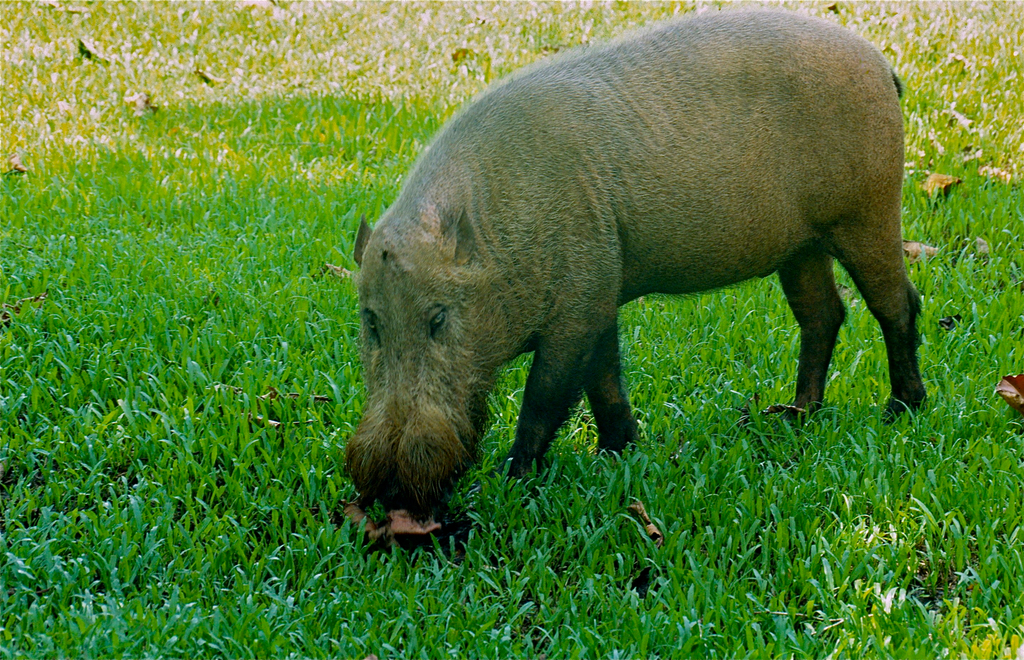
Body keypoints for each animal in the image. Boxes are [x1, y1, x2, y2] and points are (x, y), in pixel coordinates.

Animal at [345, 9, 926, 524]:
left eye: (438, 318)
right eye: (371, 321)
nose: (392, 495)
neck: (499, 236)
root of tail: (884, 67)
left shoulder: (578, 303)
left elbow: (547, 394)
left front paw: (513, 478)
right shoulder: (599, 295)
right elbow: (604, 380)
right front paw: (617, 450)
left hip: (869, 213)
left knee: (898, 303)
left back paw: (901, 409)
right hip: (802, 248)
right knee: (824, 314)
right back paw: (793, 414)